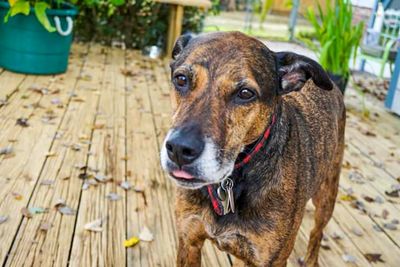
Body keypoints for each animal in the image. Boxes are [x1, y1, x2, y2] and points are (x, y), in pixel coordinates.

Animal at [161, 31, 346, 267]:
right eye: (181, 79)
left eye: (245, 93)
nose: (179, 149)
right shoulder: (189, 241)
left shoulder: (269, 260)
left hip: (327, 195)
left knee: (317, 233)